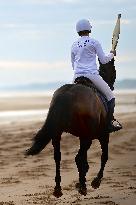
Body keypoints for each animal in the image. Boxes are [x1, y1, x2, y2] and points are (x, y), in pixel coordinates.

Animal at [26, 57, 116, 197]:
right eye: (113, 70)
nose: (111, 86)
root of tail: (67, 94)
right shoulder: (103, 135)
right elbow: (104, 157)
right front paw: (95, 181)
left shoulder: (83, 136)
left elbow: (86, 161)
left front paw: (82, 181)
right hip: (87, 137)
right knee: (78, 158)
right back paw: (83, 187)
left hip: (58, 134)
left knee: (58, 157)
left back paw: (58, 189)